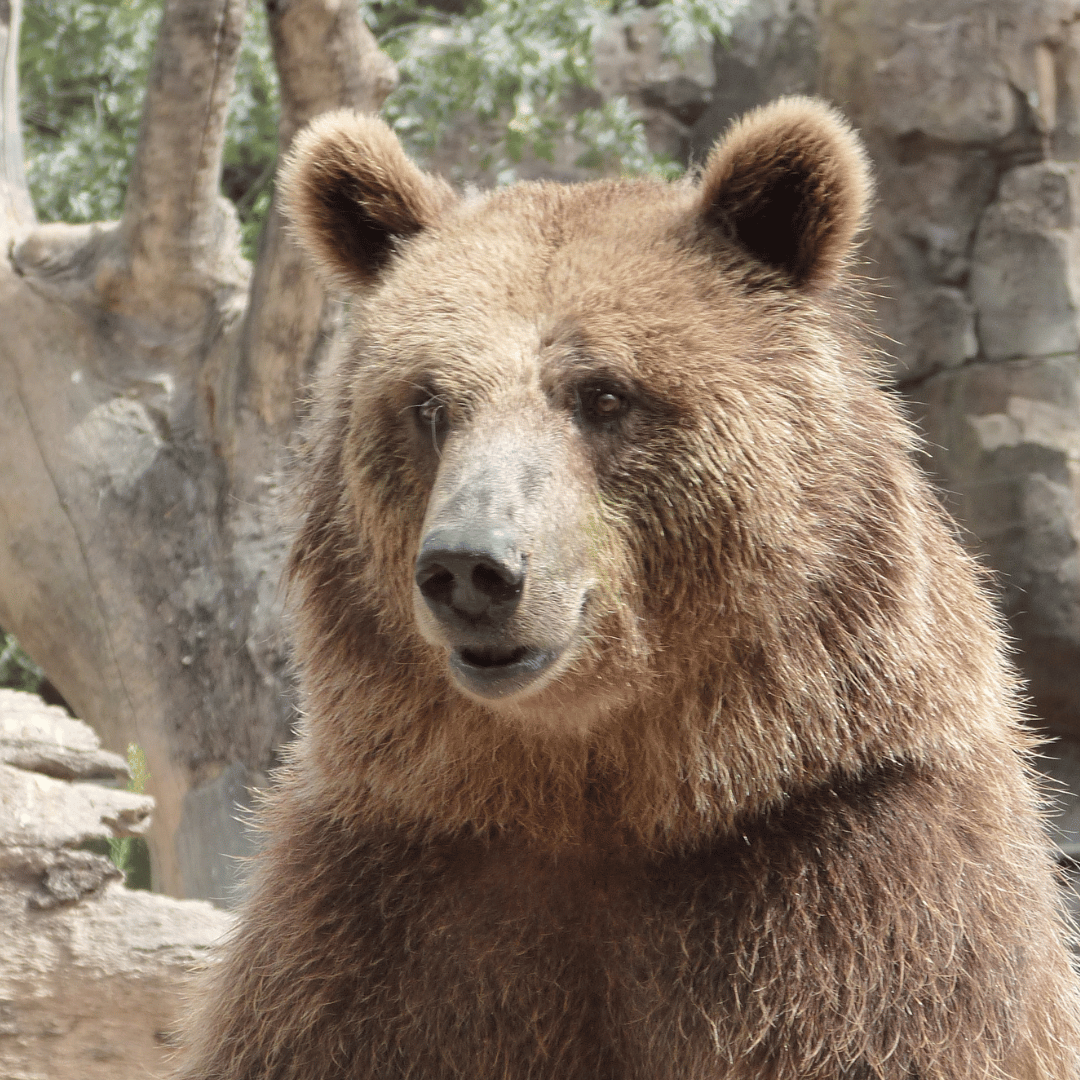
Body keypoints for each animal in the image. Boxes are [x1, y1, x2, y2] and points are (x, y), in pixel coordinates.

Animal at [172, 97, 1080, 1075]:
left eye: (604, 394)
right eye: (429, 403)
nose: (470, 567)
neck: (600, 794)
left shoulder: (860, 889)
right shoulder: (377, 910)